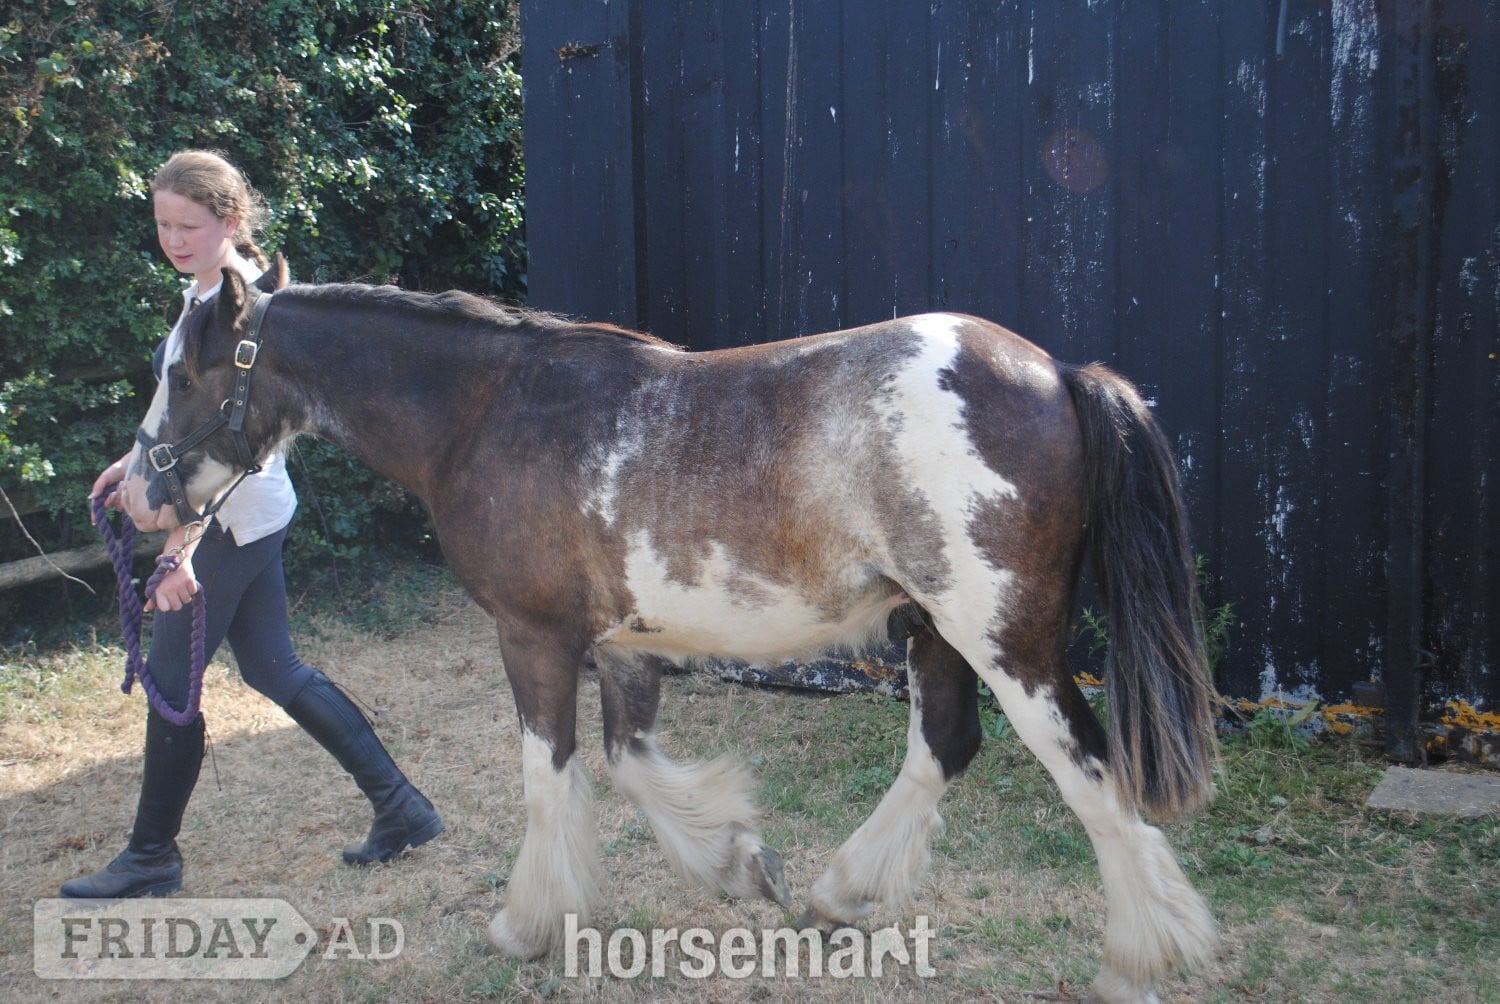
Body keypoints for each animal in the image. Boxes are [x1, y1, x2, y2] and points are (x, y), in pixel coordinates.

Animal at [116, 255, 1218, 1002]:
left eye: (180, 372)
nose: (135, 494)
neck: (484, 414)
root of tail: (1059, 373)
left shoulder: (534, 637)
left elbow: (551, 774)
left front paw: (528, 922)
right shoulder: (618, 646)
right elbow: (631, 761)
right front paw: (738, 861)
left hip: (1007, 639)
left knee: (1091, 772)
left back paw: (1141, 952)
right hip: (937, 631)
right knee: (945, 746)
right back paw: (838, 891)